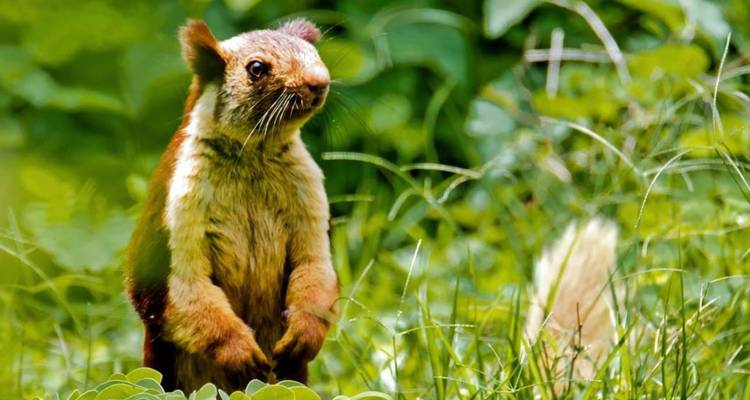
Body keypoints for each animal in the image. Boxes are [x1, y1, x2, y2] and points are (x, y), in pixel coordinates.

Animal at [125, 18, 339, 393]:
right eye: (256, 68)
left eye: (314, 54)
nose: (319, 82)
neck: (252, 155)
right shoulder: (177, 206)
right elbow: (186, 288)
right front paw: (240, 351)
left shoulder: (310, 194)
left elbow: (314, 267)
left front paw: (305, 333)